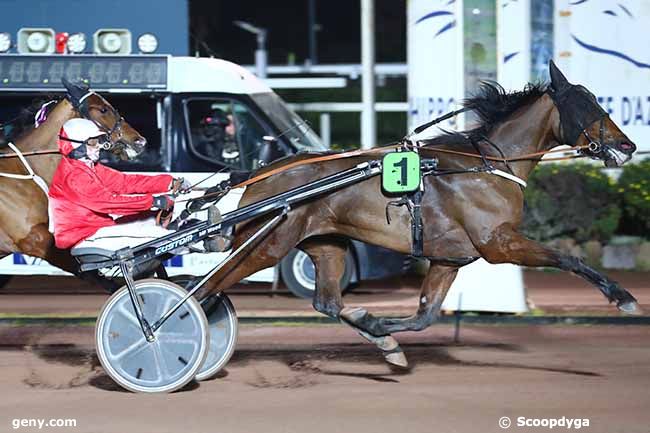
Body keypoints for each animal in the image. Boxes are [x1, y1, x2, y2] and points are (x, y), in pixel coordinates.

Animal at [194, 60, 636, 364]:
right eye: (586, 105)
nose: (628, 146)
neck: (488, 165)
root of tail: (261, 173)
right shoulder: (499, 244)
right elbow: (568, 258)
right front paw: (623, 297)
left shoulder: (448, 258)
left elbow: (424, 316)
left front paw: (382, 333)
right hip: (266, 244)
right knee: (207, 288)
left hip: (325, 243)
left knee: (327, 303)